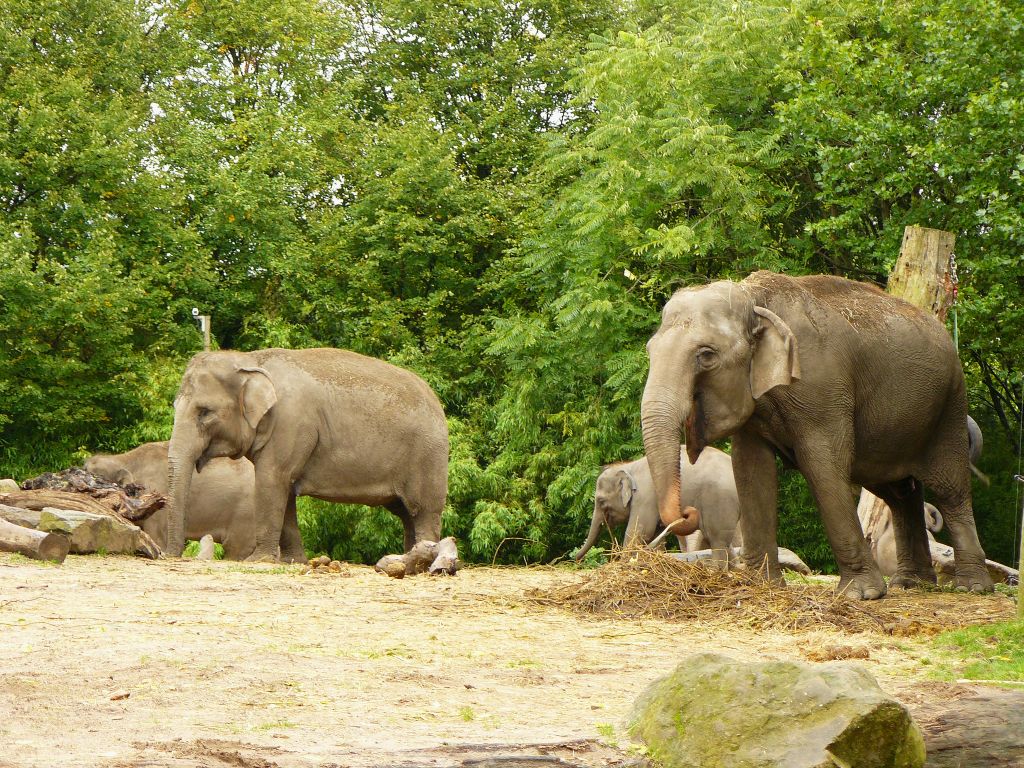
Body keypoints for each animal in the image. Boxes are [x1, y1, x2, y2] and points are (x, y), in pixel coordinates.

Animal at [167, 348, 448, 561]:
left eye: (205, 412)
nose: (171, 555)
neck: (250, 359)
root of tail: (437, 401)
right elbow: (285, 491)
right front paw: (293, 561)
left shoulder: (290, 424)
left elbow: (271, 481)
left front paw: (258, 560)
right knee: (406, 514)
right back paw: (409, 557)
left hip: (428, 456)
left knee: (423, 511)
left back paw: (424, 560)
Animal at [577, 444, 745, 565]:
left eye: (601, 501)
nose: (576, 559)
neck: (629, 467)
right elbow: (654, 534)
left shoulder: (645, 497)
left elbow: (638, 532)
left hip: (720, 500)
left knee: (718, 539)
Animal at [638, 270, 991, 602]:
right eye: (649, 351)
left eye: (707, 355)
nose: (688, 512)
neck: (753, 297)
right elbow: (751, 470)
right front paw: (761, 586)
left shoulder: (822, 389)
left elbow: (822, 464)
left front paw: (860, 594)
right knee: (899, 494)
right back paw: (910, 584)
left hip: (950, 406)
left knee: (949, 490)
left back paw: (972, 586)